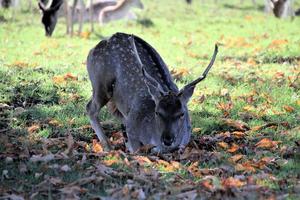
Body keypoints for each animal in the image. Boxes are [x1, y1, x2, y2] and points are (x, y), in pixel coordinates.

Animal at [86, 32, 218, 152]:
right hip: (100, 83)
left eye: (181, 114)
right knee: (90, 108)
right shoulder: (132, 128)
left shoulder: (185, 140)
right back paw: (108, 147)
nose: (167, 140)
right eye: (157, 112)